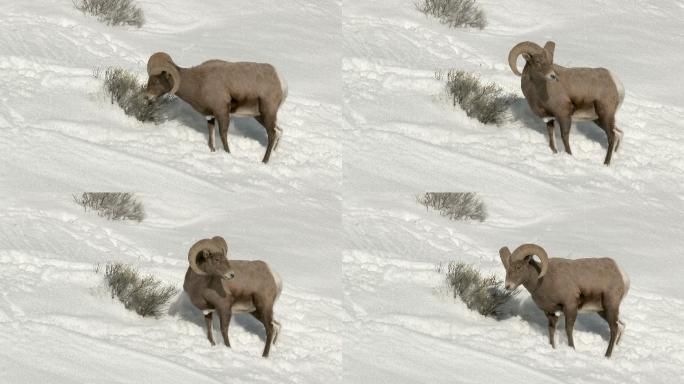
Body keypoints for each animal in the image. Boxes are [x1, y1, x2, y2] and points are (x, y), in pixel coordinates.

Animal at [147, 52, 288, 162]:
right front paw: (213, 151)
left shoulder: (222, 113)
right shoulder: (210, 116)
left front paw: (228, 154)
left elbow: (223, 135)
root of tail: (281, 82)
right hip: (259, 116)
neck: (199, 83)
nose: (148, 97)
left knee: (272, 134)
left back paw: (264, 161)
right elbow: (211, 136)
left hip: (267, 113)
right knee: (279, 131)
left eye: (156, 81)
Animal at [500, 243, 628, 356]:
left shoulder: (570, 307)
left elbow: (568, 329)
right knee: (621, 326)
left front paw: (572, 348)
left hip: (610, 307)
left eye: (518, 267)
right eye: (507, 268)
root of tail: (622, 275)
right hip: (602, 311)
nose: (508, 286)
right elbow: (551, 330)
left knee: (614, 329)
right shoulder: (550, 313)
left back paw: (607, 355)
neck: (543, 281)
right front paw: (552, 347)